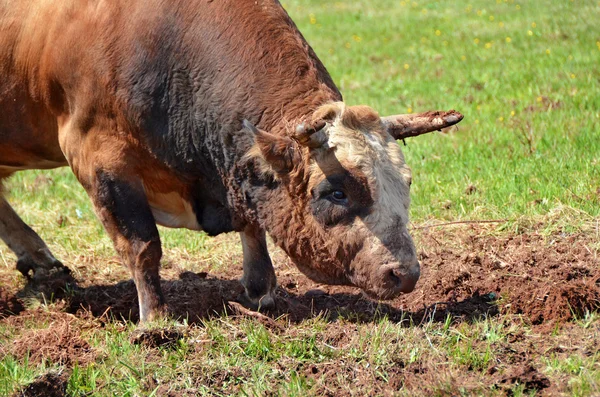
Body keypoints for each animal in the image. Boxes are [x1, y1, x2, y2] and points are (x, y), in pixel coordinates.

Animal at [0, 0, 464, 318]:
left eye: (406, 183)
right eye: (335, 192)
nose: (405, 273)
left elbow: (252, 225)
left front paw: (261, 291)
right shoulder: (98, 156)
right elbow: (142, 246)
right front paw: (156, 320)